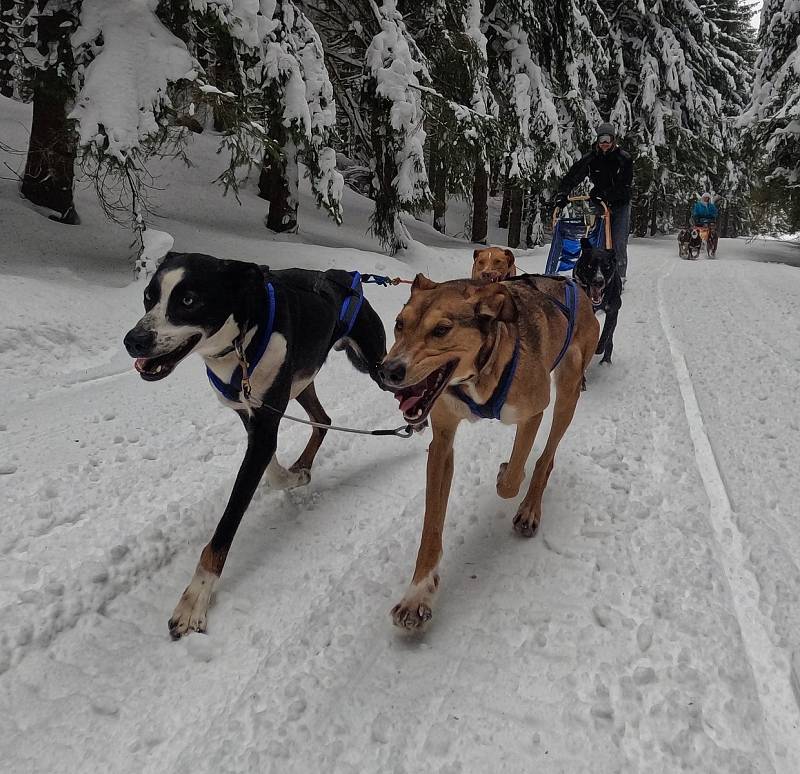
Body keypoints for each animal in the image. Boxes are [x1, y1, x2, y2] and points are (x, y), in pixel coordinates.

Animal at [382, 276, 600, 628]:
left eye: (441, 329)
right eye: (399, 324)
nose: (388, 371)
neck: (479, 375)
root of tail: (573, 284)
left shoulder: (533, 412)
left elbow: (511, 479)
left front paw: (507, 475)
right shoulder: (442, 440)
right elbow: (431, 524)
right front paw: (418, 594)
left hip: (567, 392)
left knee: (546, 458)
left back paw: (530, 508)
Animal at [576, 236, 624, 366]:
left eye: (606, 266)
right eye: (589, 266)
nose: (598, 281)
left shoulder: (612, 311)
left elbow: (606, 333)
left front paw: (599, 347)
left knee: (610, 338)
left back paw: (605, 361)